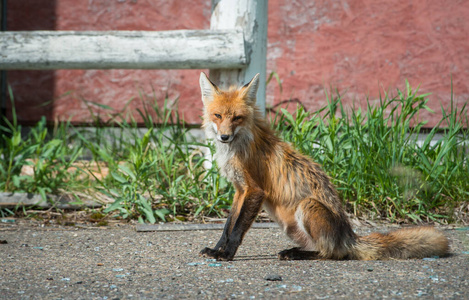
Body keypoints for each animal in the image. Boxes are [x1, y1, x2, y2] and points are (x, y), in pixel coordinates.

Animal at [196, 72, 448, 260]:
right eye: (218, 115)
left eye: (237, 118)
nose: (225, 137)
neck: (237, 148)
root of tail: (349, 237)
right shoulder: (240, 190)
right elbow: (228, 225)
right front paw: (217, 249)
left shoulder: (256, 190)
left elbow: (237, 229)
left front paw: (227, 254)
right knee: (319, 247)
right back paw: (295, 251)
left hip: (307, 206)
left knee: (332, 253)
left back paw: (299, 255)